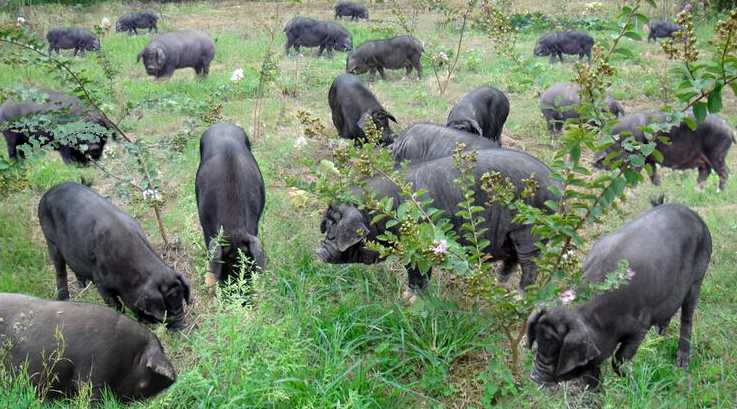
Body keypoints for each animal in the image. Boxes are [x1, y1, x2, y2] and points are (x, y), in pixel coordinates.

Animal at [38, 182, 191, 328]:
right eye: (165, 311)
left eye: (181, 300)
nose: (182, 325)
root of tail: (48, 192)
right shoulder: (100, 281)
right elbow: (115, 305)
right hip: (50, 240)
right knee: (60, 269)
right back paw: (64, 298)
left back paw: (82, 285)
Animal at [316, 148, 556, 292]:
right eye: (326, 227)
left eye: (335, 231)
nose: (318, 252)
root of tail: (556, 181)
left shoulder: (419, 245)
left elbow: (417, 273)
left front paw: (410, 299)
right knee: (512, 261)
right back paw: (501, 287)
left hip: (528, 229)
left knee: (529, 264)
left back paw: (519, 295)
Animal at [528, 202, 712, 388]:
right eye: (538, 343)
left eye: (557, 351)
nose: (534, 377)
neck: (602, 319)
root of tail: (694, 215)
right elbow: (593, 369)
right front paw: (595, 388)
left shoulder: (640, 326)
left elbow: (619, 359)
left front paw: (631, 381)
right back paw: (660, 336)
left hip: (698, 278)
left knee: (687, 318)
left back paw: (682, 365)